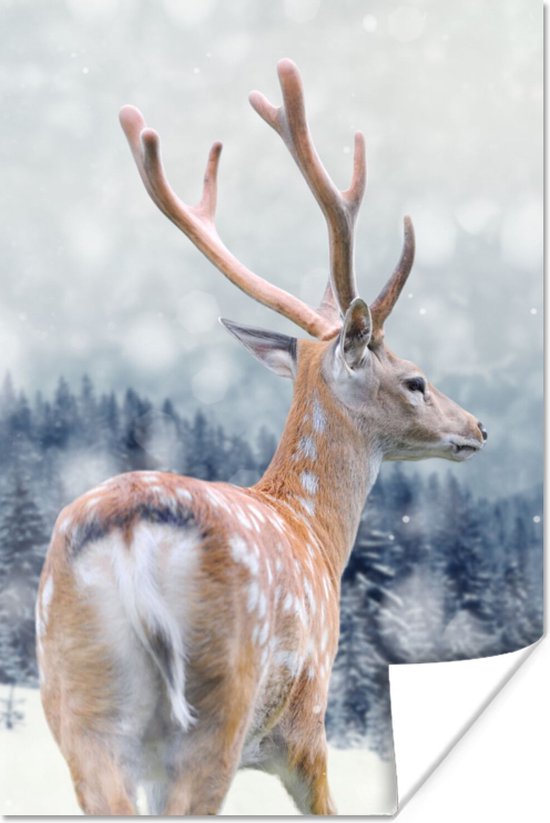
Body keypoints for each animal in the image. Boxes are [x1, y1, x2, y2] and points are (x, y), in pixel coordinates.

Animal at [36, 59, 487, 816]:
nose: (477, 427)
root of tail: (129, 535)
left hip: (76, 708)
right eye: (417, 380)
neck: (315, 532)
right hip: (220, 704)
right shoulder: (306, 725)